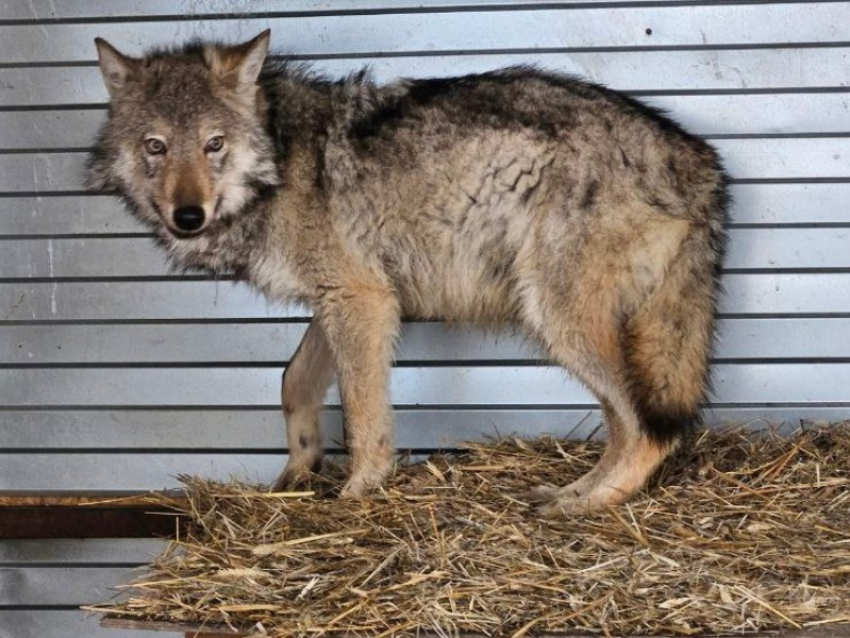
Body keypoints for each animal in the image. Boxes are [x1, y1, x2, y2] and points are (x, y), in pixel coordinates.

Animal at [86, 32, 724, 516]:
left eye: (213, 144)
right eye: (156, 147)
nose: (187, 216)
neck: (283, 160)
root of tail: (697, 158)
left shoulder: (361, 301)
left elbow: (365, 413)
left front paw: (358, 493)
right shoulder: (348, 297)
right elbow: (294, 382)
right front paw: (298, 470)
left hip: (558, 320)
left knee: (648, 430)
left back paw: (588, 504)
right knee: (625, 424)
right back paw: (571, 490)